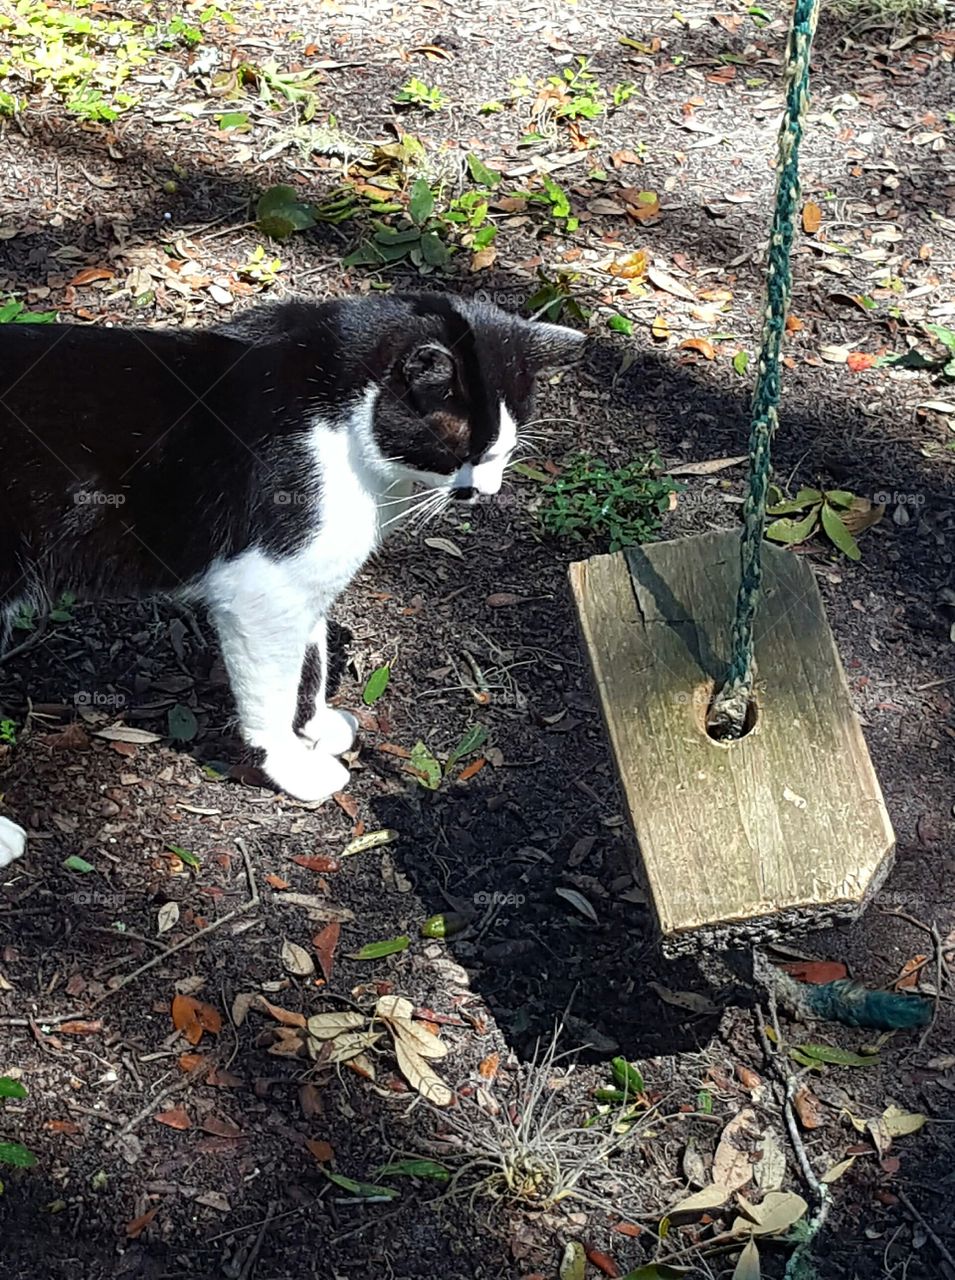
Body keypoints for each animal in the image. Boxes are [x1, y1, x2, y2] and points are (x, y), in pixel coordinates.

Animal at [0, 290, 581, 860]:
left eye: (504, 451)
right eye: (460, 450)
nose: (486, 490)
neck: (342, 420)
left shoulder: (306, 584)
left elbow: (311, 661)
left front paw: (315, 726)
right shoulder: (262, 591)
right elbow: (273, 690)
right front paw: (289, 764)